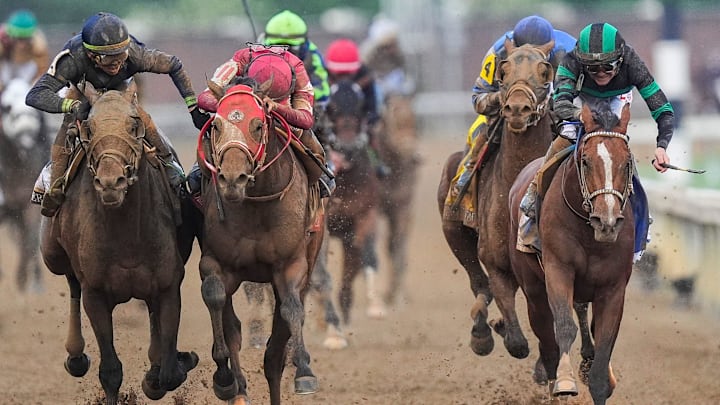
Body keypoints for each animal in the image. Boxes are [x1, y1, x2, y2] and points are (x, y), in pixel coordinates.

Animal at [39, 79, 197, 405]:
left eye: (135, 124)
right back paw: (76, 356)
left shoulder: (167, 286)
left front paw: (173, 363)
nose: (111, 182)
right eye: (88, 127)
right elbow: (110, 371)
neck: (127, 236)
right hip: (53, 255)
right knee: (72, 282)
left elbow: (169, 373)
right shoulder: (96, 293)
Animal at [196, 81, 323, 405]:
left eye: (257, 125)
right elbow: (215, 297)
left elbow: (291, 309)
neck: (255, 204)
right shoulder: (216, 262)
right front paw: (225, 379)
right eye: (216, 125)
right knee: (234, 329)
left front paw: (305, 372)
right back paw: (238, 389)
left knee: (276, 348)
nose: (232, 179)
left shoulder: (291, 265)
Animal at [436, 40, 555, 358]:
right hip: (453, 224)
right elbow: (517, 342)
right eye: (503, 71)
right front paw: (496, 329)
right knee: (479, 283)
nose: (517, 108)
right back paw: (482, 331)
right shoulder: (498, 264)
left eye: (544, 71)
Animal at [508, 100, 635, 405]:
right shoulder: (558, 269)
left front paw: (600, 380)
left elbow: (604, 341)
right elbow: (564, 325)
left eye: (627, 162)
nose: (607, 221)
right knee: (548, 340)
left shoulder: (613, 287)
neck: (591, 236)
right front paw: (565, 382)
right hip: (533, 290)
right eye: (586, 160)